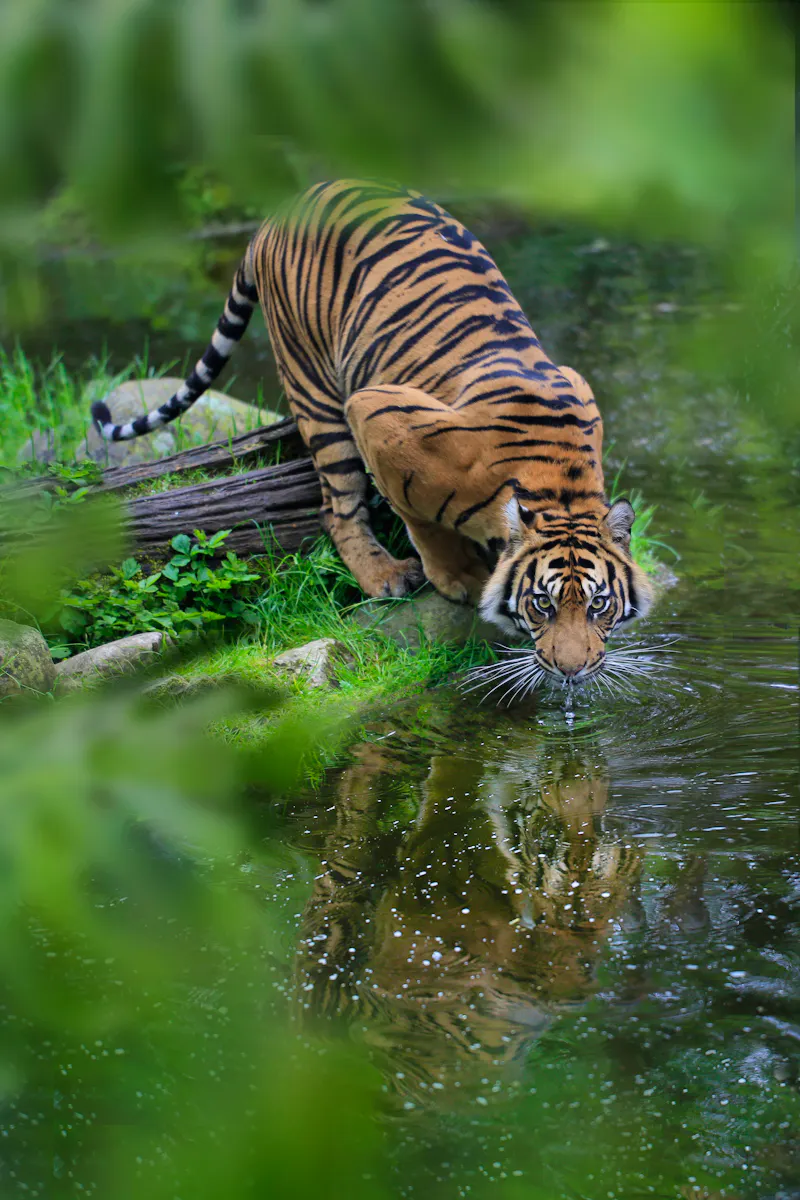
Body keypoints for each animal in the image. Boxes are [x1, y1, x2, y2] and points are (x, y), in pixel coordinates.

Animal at [91, 179, 653, 681]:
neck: (561, 487)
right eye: (542, 603)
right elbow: (420, 518)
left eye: (599, 605)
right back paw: (382, 574)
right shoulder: (379, 415)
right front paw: (457, 576)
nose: (573, 671)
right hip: (315, 385)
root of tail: (281, 209)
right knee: (335, 507)